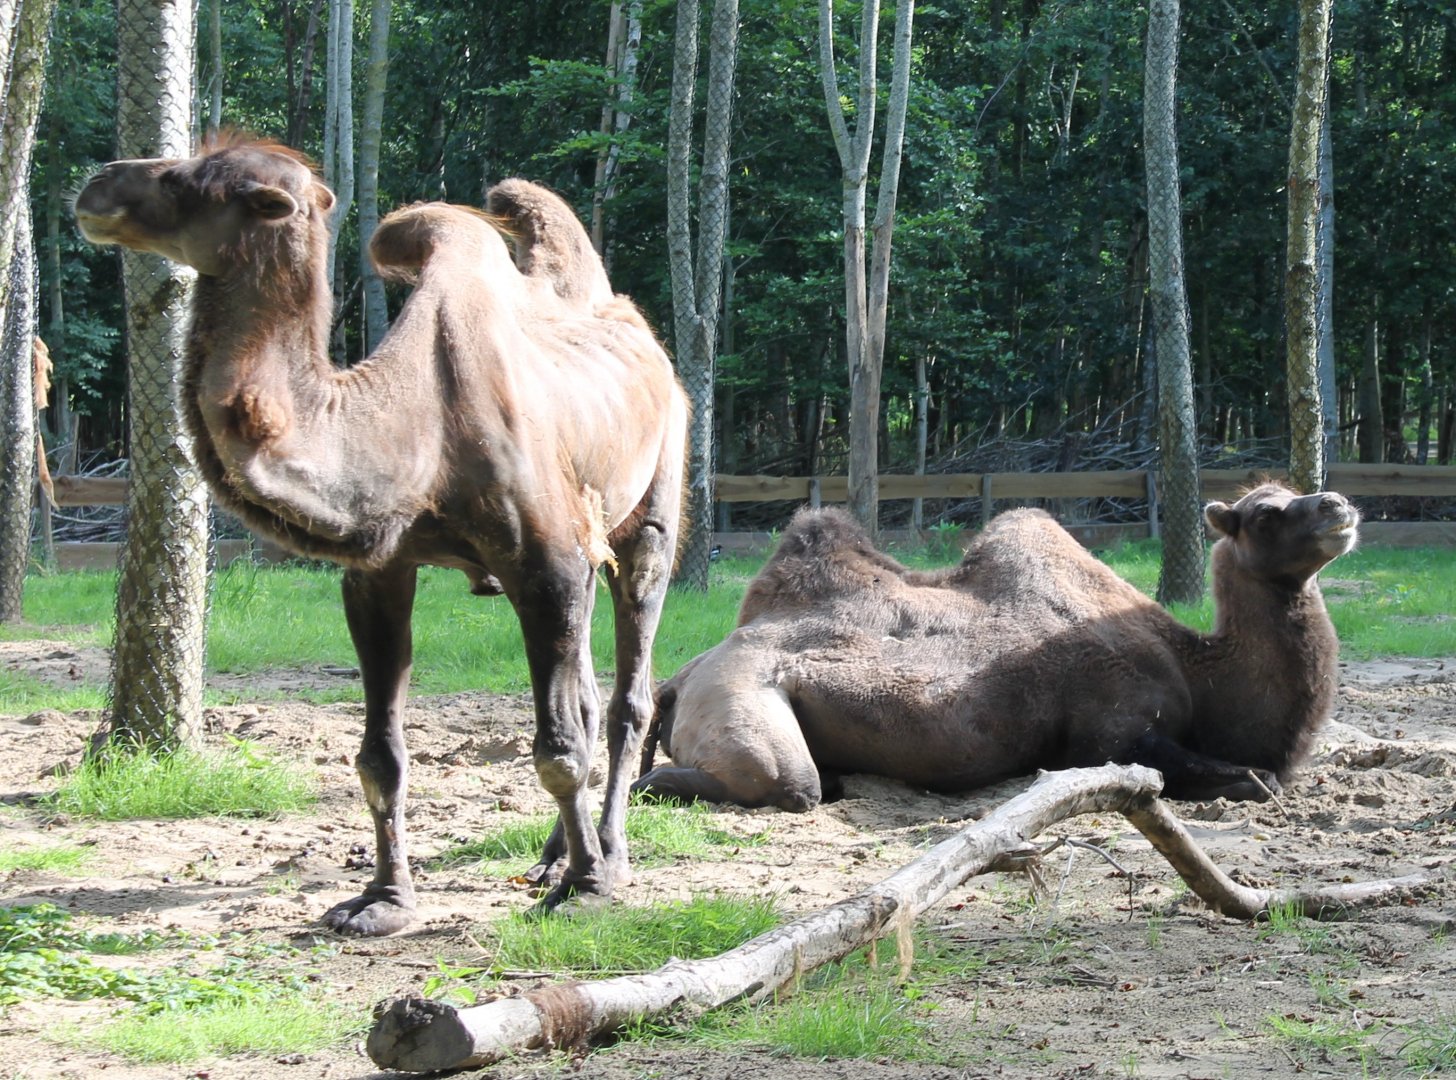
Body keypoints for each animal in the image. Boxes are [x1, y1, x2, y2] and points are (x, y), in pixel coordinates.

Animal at [76, 135, 687, 933]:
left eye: (192, 180)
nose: (97, 181)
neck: (417, 431)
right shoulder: (379, 571)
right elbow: (380, 757)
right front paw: (382, 900)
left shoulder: (545, 561)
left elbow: (558, 752)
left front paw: (588, 888)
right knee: (585, 696)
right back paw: (552, 857)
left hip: (652, 503)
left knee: (624, 697)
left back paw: (605, 854)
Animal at [636, 483, 1359, 810]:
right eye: (1264, 513)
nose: (1338, 505)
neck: (1195, 667)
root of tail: (678, 679)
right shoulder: (1113, 726)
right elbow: (1258, 779)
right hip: (742, 703)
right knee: (788, 783)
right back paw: (657, 783)